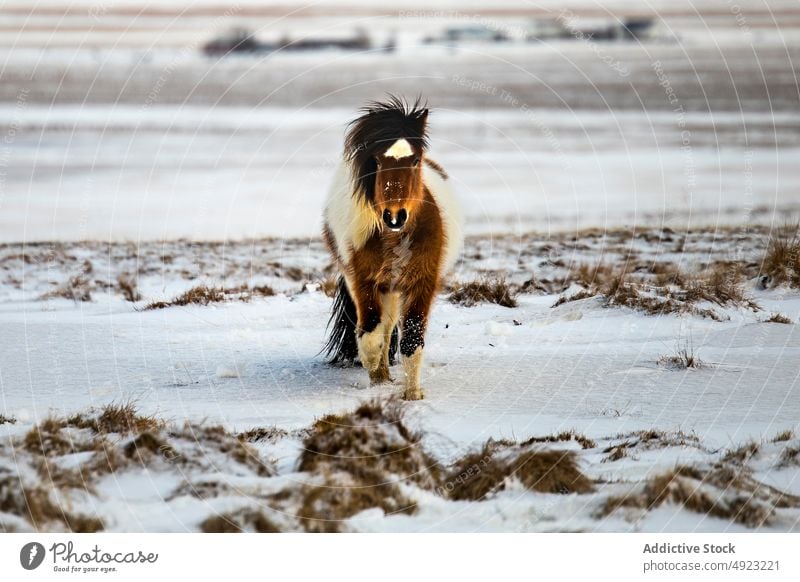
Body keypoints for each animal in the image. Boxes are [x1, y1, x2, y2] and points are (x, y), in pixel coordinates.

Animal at [322, 96, 462, 404]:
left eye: (415, 160)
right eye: (376, 160)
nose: (394, 216)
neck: (395, 237)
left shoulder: (422, 284)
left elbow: (411, 342)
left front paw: (413, 394)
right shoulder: (363, 283)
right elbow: (370, 338)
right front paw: (376, 375)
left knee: (389, 329)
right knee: (381, 328)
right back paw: (382, 375)